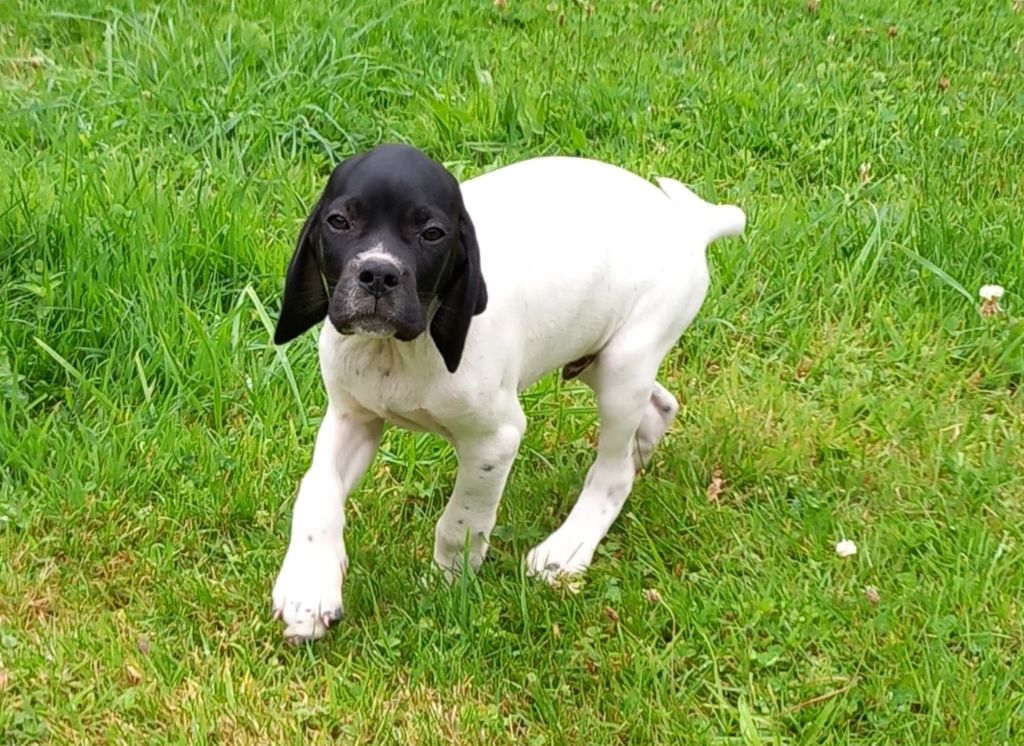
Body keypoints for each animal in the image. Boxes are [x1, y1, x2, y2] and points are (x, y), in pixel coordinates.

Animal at [270, 144, 745, 642]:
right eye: (339, 222)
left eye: (432, 233)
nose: (378, 274)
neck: (398, 350)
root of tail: (688, 224)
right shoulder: (352, 417)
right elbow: (316, 490)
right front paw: (308, 590)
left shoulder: (495, 440)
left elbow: (461, 519)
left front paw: (448, 582)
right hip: (593, 353)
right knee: (659, 407)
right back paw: (640, 455)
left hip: (624, 364)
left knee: (613, 474)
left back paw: (567, 549)